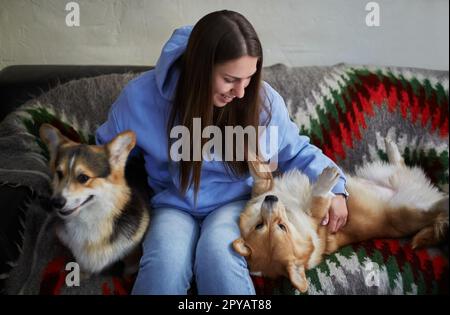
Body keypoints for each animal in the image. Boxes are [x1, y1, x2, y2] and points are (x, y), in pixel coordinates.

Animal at [234, 141, 448, 294]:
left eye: (261, 226)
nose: (271, 200)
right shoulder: (316, 215)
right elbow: (318, 198)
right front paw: (326, 180)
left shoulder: (264, 190)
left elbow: (259, 173)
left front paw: (248, 152)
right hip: (405, 212)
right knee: (433, 210)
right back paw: (443, 201)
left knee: (401, 165)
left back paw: (390, 146)